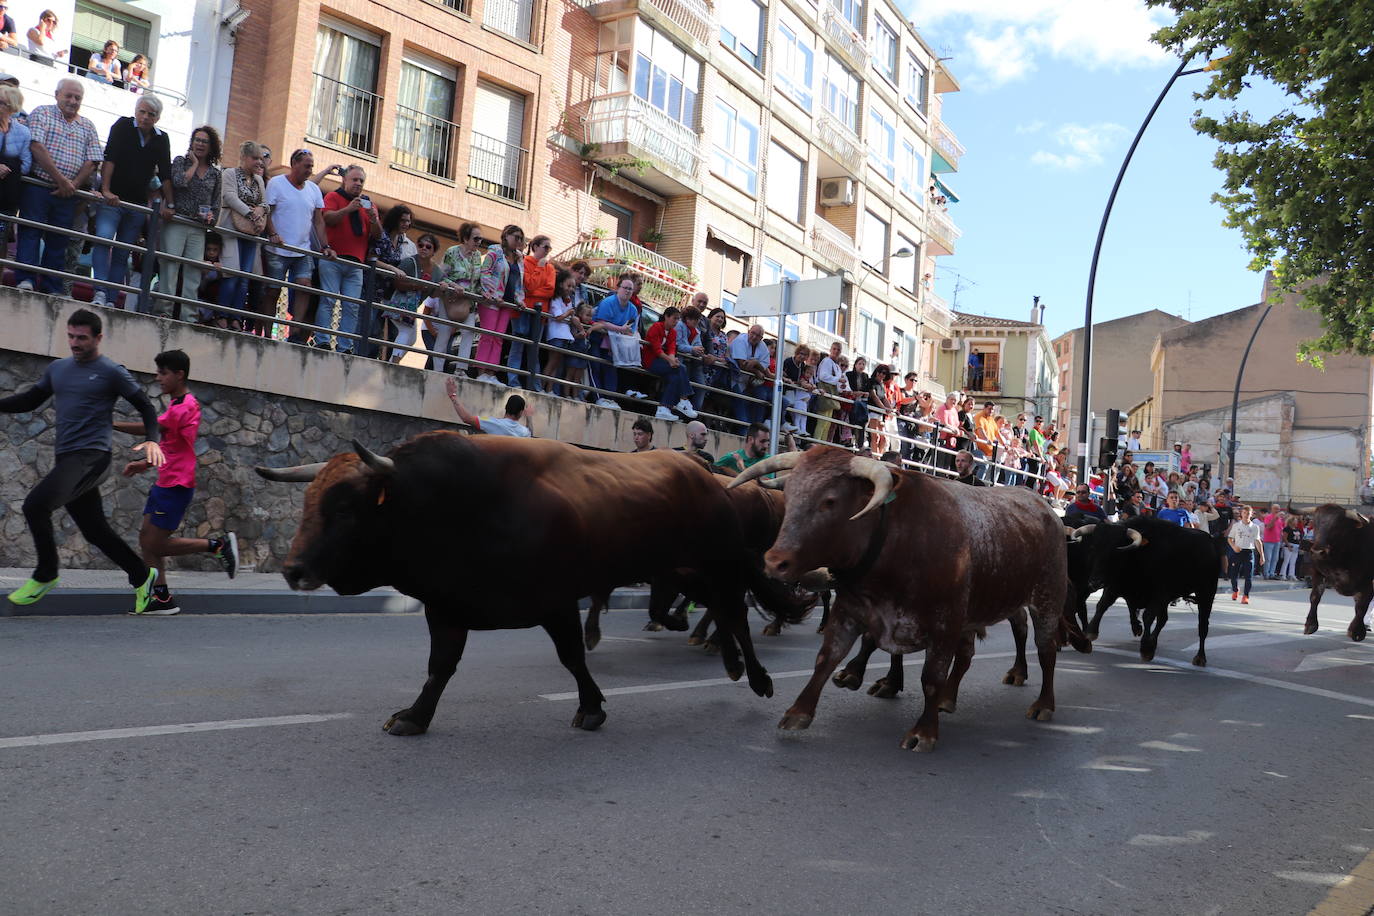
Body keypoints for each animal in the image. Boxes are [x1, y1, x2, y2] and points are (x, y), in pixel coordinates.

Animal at [252, 431, 780, 736]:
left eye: (344, 509)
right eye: (307, 503)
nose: (293, 569)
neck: (453, 506)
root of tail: (709, 477)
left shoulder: (556, 602)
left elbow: (572, 658)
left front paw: (591, 708)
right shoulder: (446, 608)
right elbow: (439, 668)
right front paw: (416, 716)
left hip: (715, 565)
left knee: (734, 612)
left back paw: (757, 677)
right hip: (684, 574)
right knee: (719, 612)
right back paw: (731, 662)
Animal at [736, 444, 1077, 752]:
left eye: (830, 501)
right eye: (791, 494)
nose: (774, 561)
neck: (895, 539)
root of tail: (1045, 508)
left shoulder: (945, 623)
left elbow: (931, 677)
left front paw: (923, 731)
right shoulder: (851, 611)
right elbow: (827, 658)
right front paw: (799, 711)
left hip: (1045, 600)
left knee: (1045, 650)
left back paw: (1043, 703)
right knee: (969, 655)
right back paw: (948, 698)